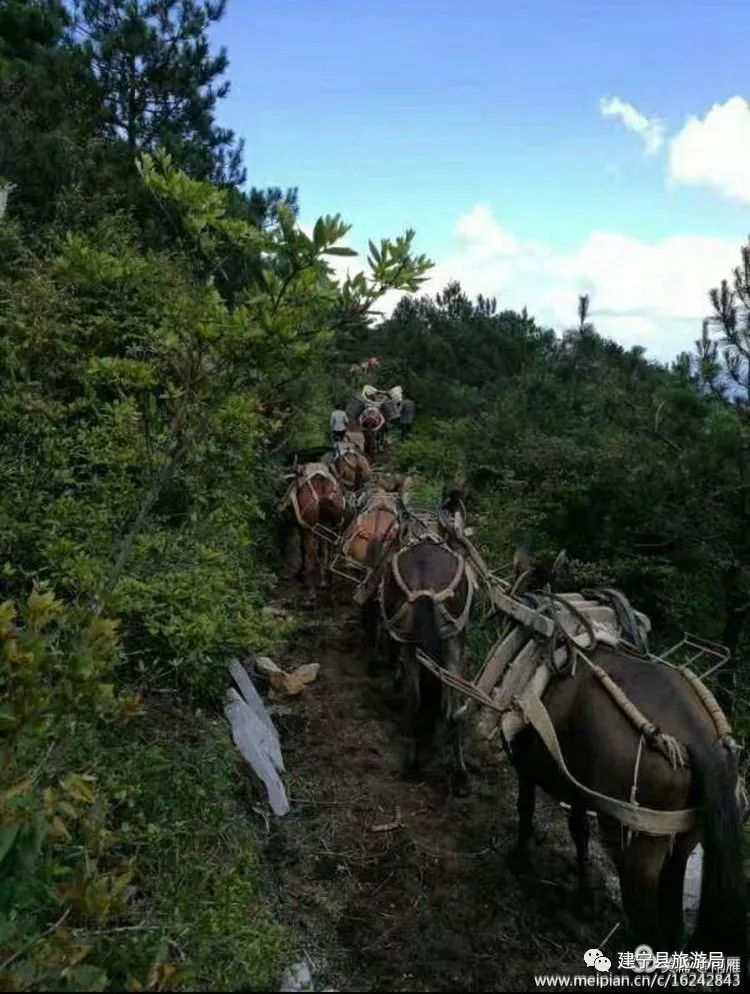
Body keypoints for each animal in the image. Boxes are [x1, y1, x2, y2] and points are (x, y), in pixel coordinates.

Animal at [508, 564, 748, 968]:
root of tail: (701, 743)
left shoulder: (525, 763)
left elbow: (525, 809)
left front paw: (521, 862)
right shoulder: (579, 791)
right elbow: (578, 833)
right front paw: (584, 898)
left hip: (639, 839)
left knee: (645, 910)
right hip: (685, 834)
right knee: (670, 902)